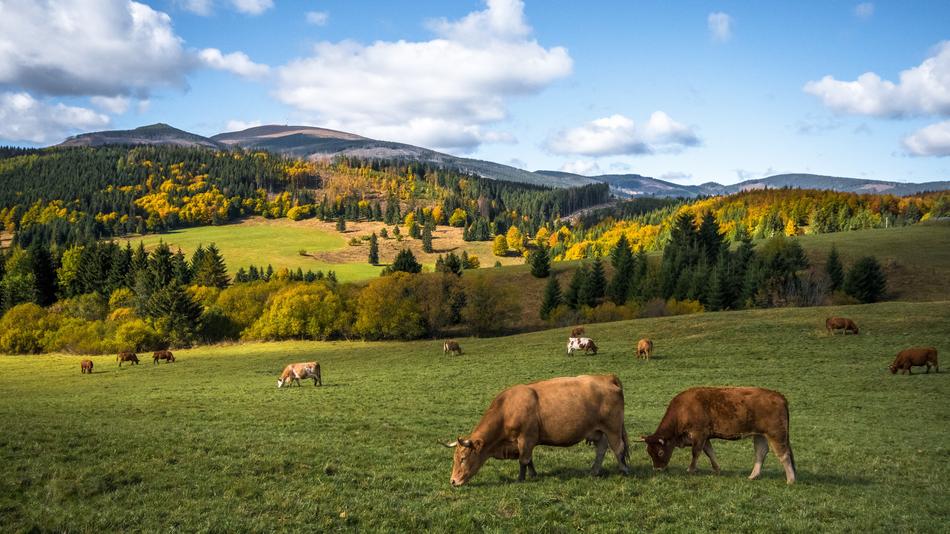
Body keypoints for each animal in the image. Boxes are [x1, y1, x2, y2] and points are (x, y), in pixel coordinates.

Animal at [443, 374, 630, 486]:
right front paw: (533, 474)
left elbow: (523, 460)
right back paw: (594, 471)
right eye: (454, 458)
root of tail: (606, 377)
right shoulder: (524, 442)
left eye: (463, 458)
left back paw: (624, 471)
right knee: (602, 450)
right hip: (599, 431)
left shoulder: (526, 438)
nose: (453, 481)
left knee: (618, 448)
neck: (507, 408)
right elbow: (529, 459)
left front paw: (520, 479)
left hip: (613, 428)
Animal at [638, 387, 797, 484]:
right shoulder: (705, 437)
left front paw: (691, 469)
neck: (683, 410)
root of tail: (778, 395)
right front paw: (717, 469)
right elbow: (709, 452)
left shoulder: (699, 434)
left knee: (784, 454)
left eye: (660, 451)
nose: (657, 469)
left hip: (776, 433)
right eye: (648, 452)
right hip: (760, 435)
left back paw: (790, 480)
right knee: (761, 452)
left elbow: (696, 452)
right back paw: (753, 475)